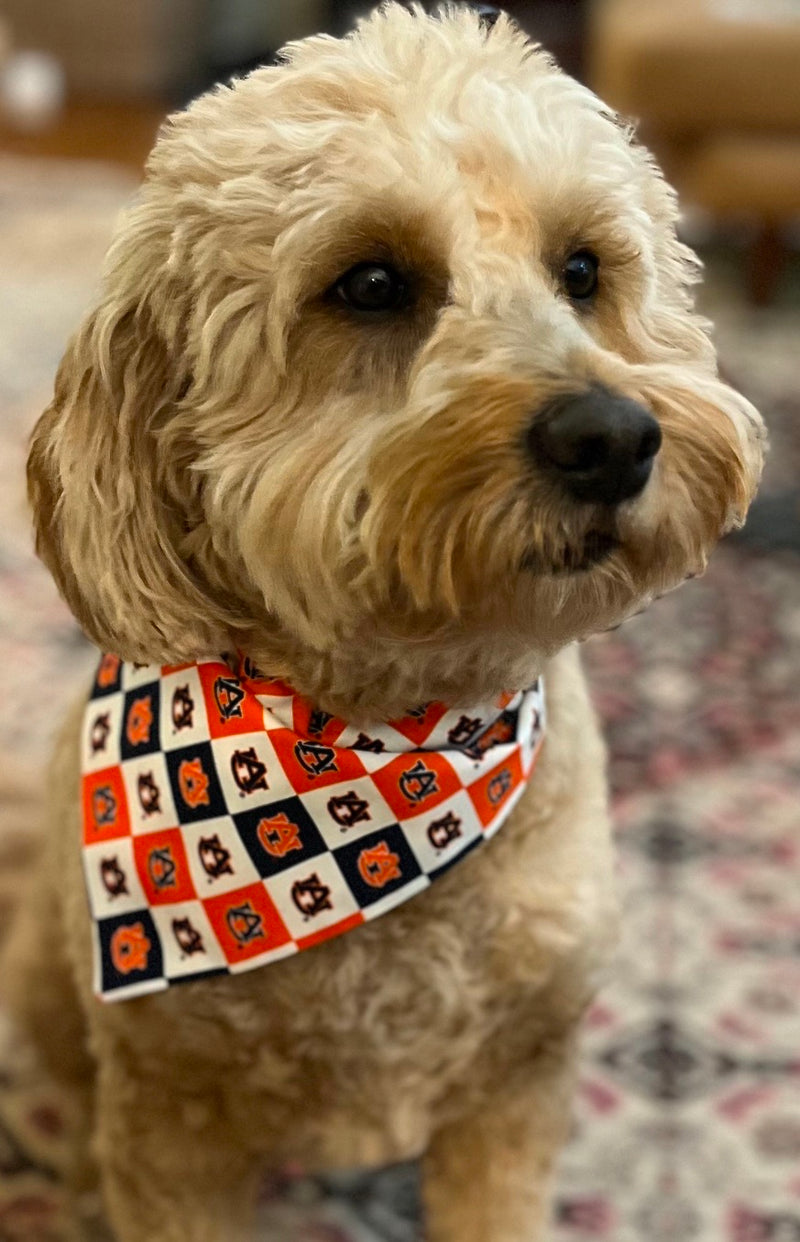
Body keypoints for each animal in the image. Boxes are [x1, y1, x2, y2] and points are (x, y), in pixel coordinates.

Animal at [1, 4, 760, 1237]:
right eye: (368, 283)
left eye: (582, 269)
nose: (612, 437)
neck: (390, 749)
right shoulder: (170, 1118)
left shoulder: (521, 1079)